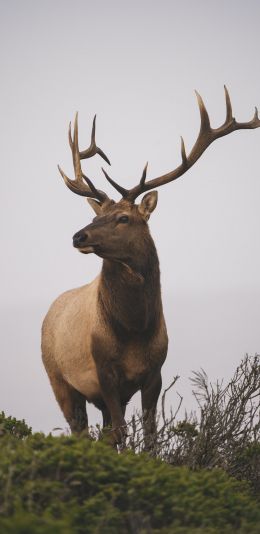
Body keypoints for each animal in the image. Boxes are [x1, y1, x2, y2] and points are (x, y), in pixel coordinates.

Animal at [41, 88, 258, 448]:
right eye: (96, 215)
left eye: (123, 218)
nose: (78, 236)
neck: (134, 329)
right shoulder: (103, 370)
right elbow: (120, 432)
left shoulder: (154, 372)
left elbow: (150, 435)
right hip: (58, 378)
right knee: (80, 429)